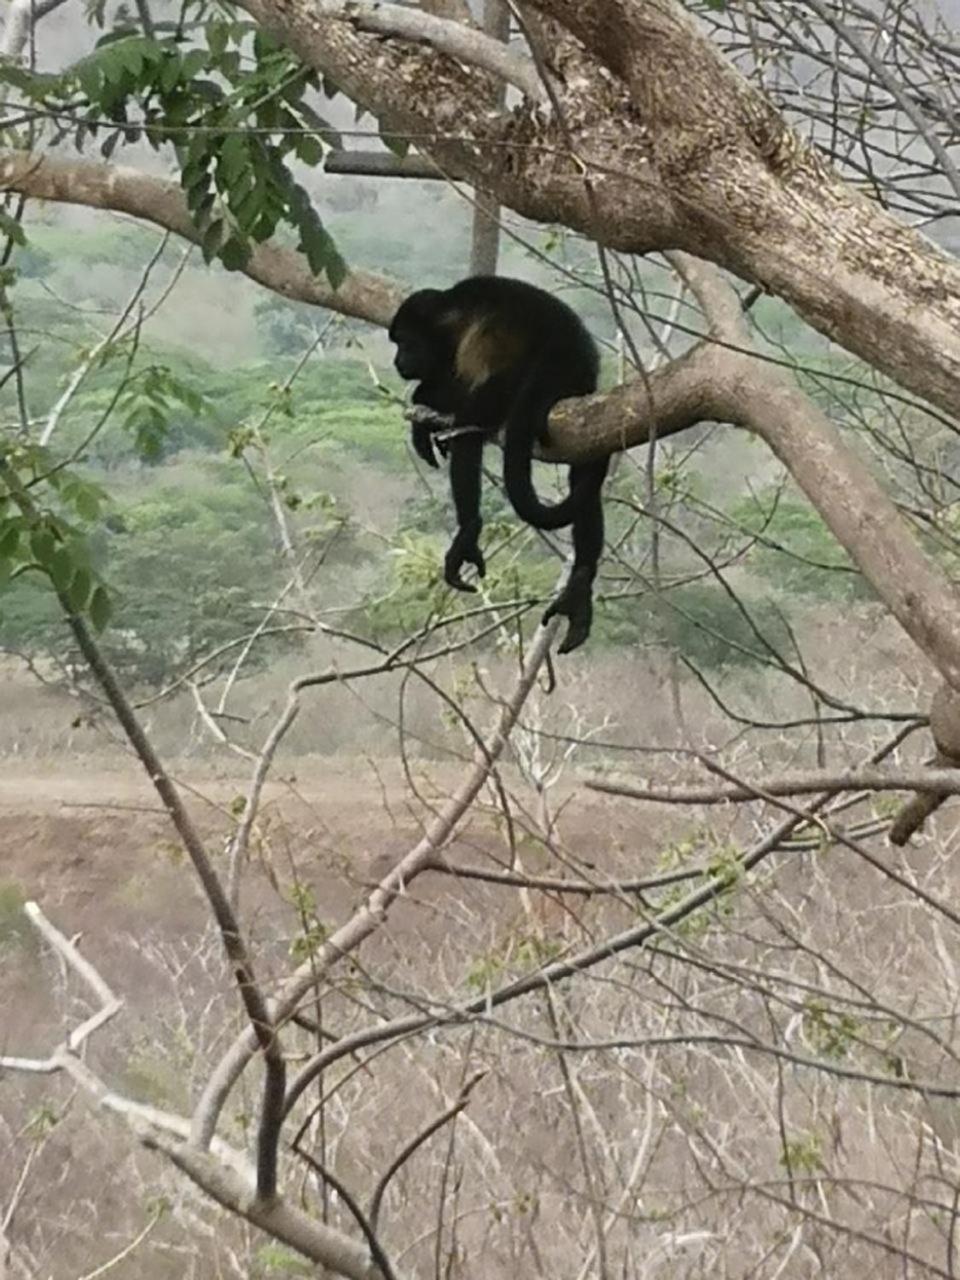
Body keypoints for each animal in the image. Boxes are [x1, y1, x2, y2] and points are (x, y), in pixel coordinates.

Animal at [388, 275, 608, 654]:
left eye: (405, 342)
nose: (397, 360)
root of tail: (565, 347)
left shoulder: (470, 341)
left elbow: (467, 406)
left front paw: (426, 404)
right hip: (580, 390)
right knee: (584, 472)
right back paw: (580, 583)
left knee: (475, 420)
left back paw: (468, 529)